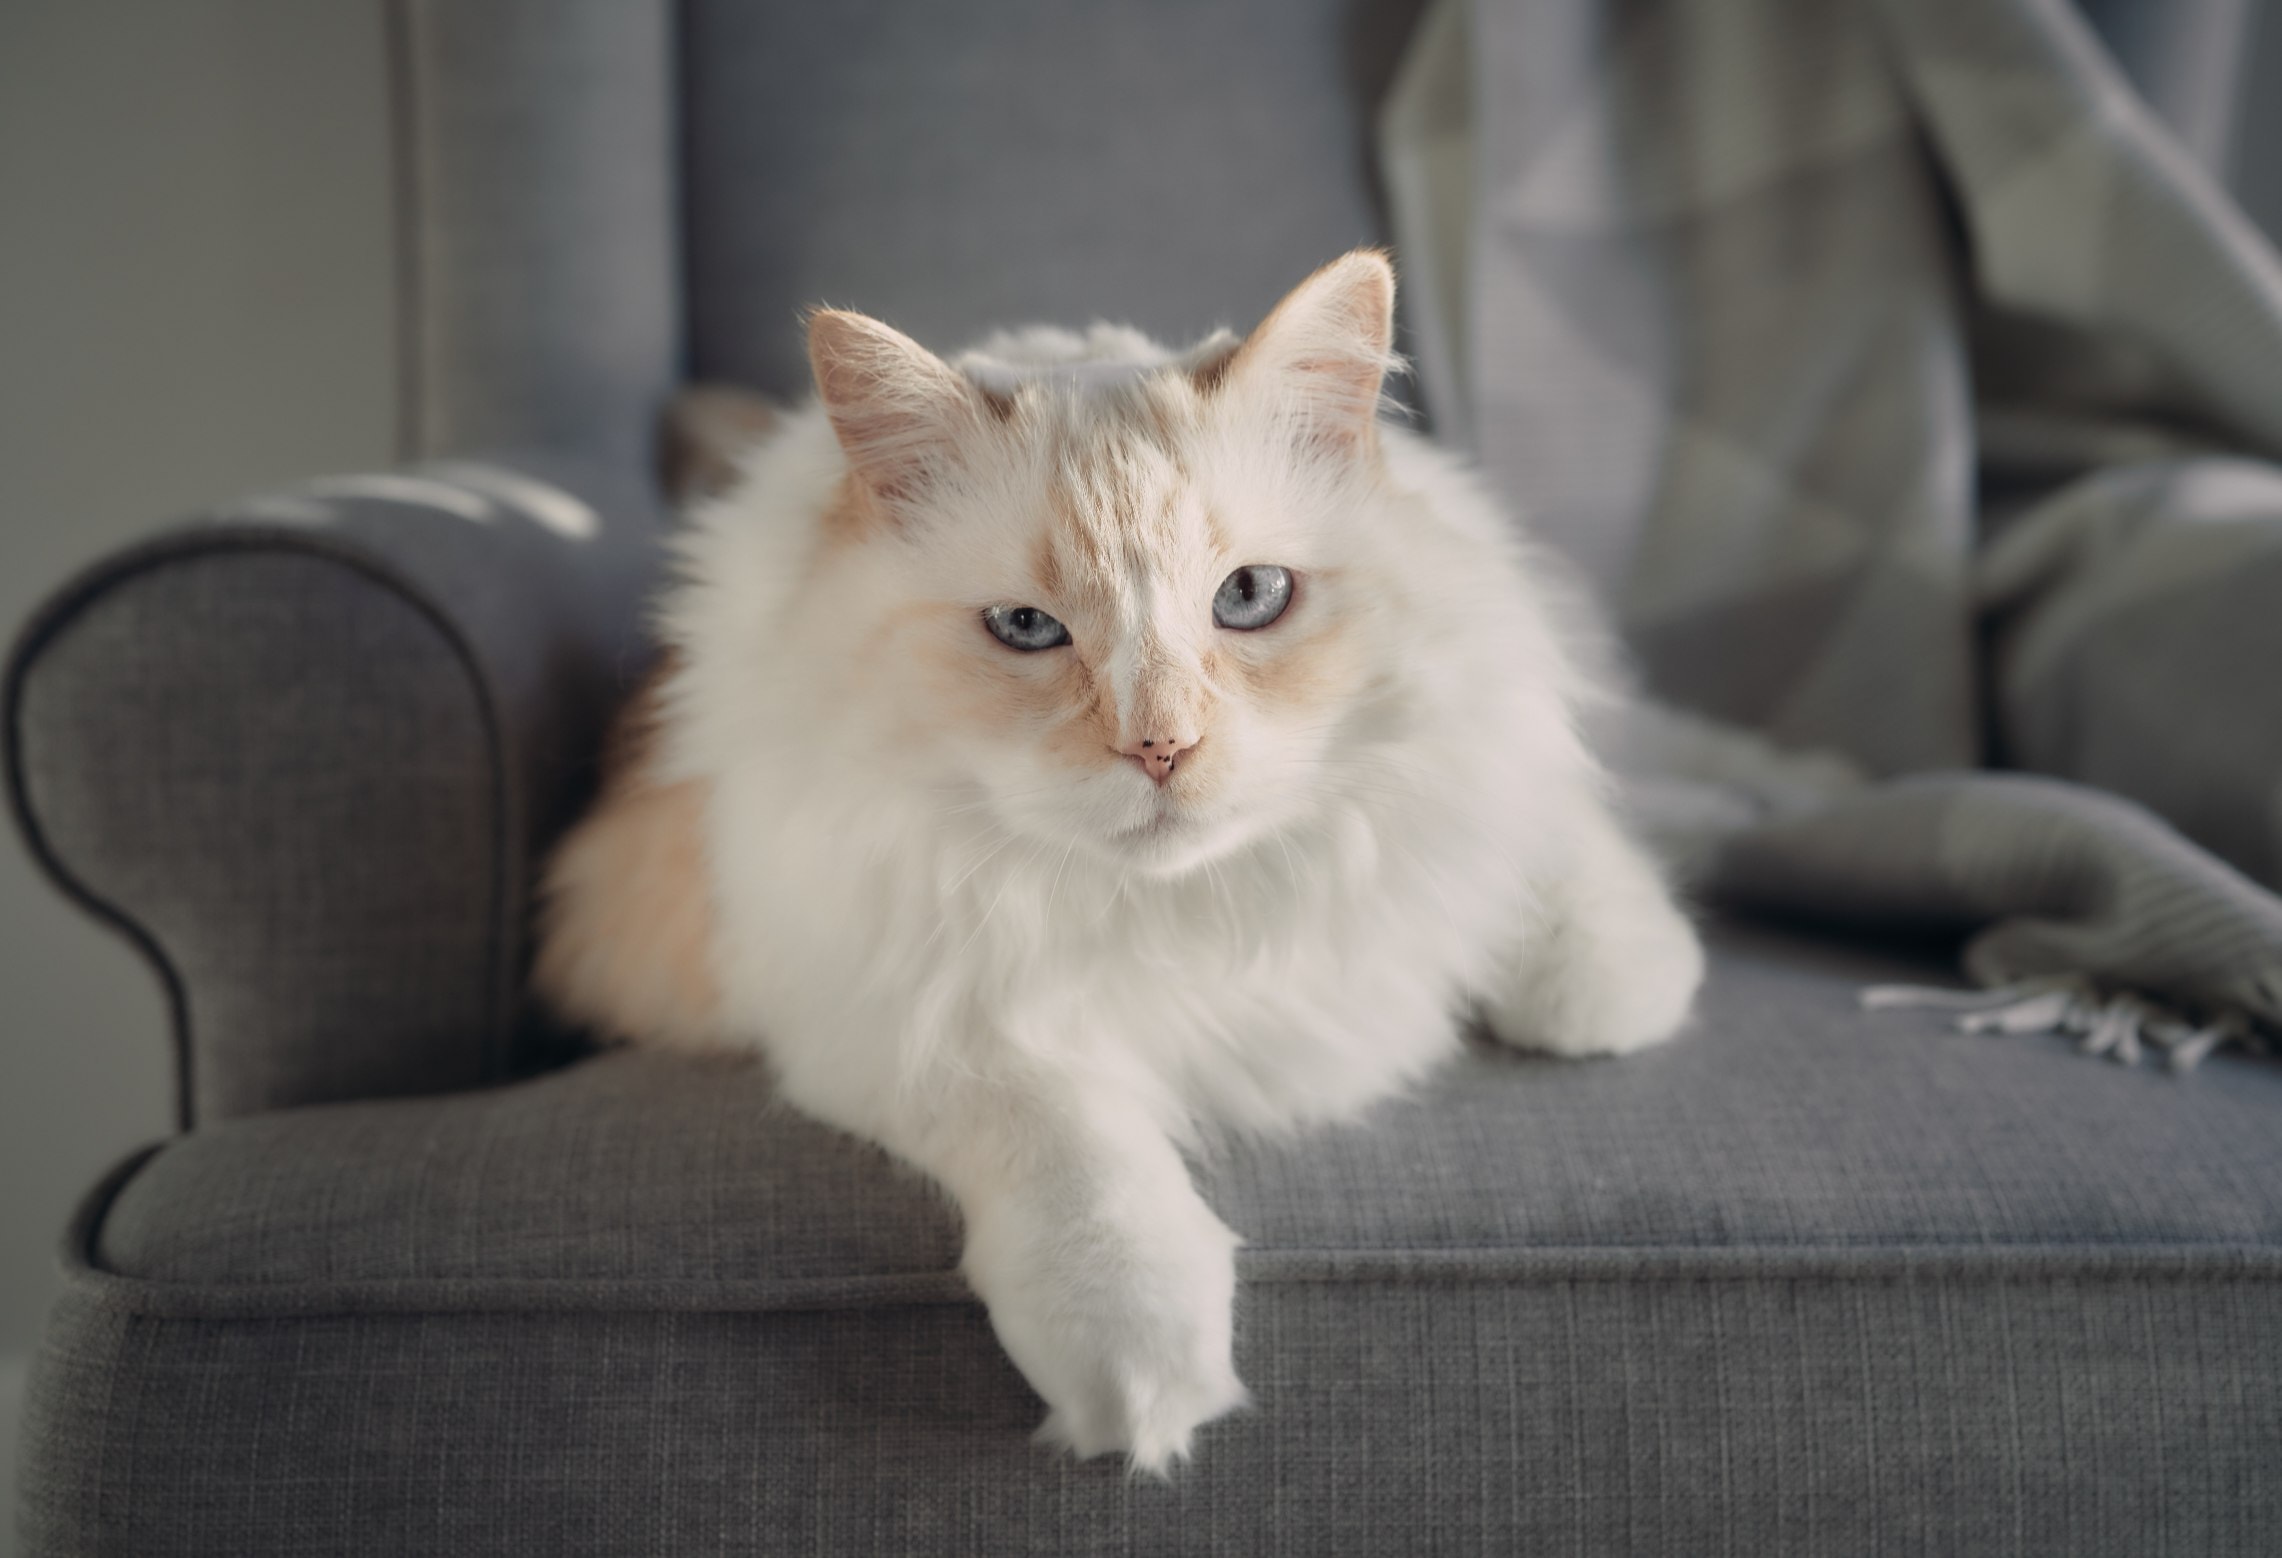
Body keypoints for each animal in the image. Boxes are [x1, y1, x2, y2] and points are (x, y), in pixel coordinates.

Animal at [533, 253, 1706, 1478]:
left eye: (1249, 598)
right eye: (1024, 627)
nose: (1161, 747)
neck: (1196, 909)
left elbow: (1549, 865)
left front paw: (1602, 984)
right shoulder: (900, 1010)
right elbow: (1076, 1165)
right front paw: (1142, 1380)